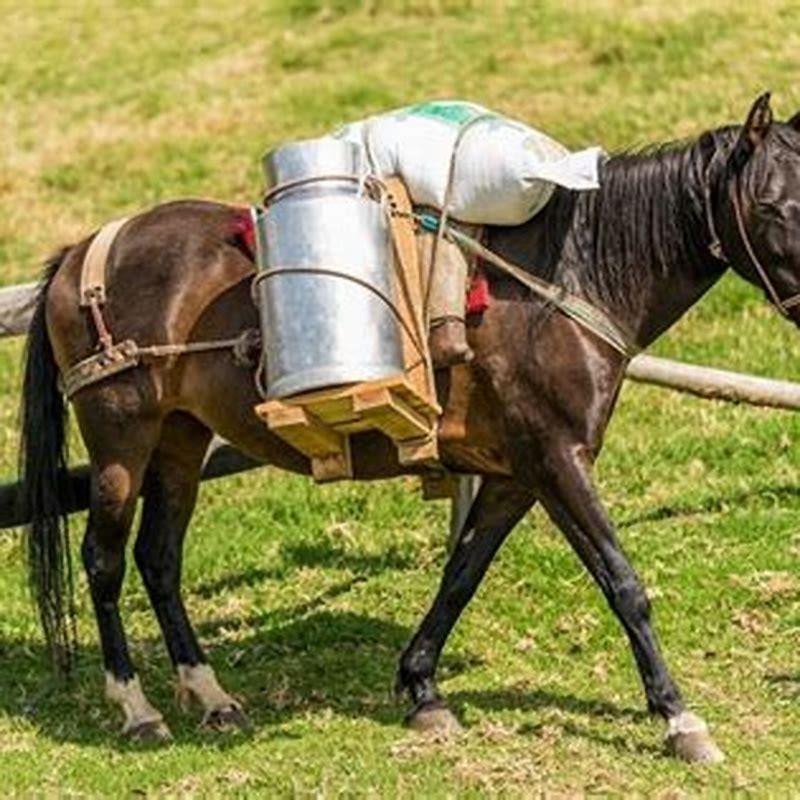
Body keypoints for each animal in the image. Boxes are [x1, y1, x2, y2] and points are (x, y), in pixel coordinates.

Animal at [19, 93, 800, 762]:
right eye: (773, 205)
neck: (561, 283)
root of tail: (81, 253)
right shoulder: (557, 459)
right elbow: (622, 581)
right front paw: (678, 717)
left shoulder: (515, 476)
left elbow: (461, 575)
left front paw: (422, 687)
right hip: (121, 442)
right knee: (104, 561)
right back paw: (137, 708)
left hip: (179, 441)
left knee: (159, 558)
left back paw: (210, 695)